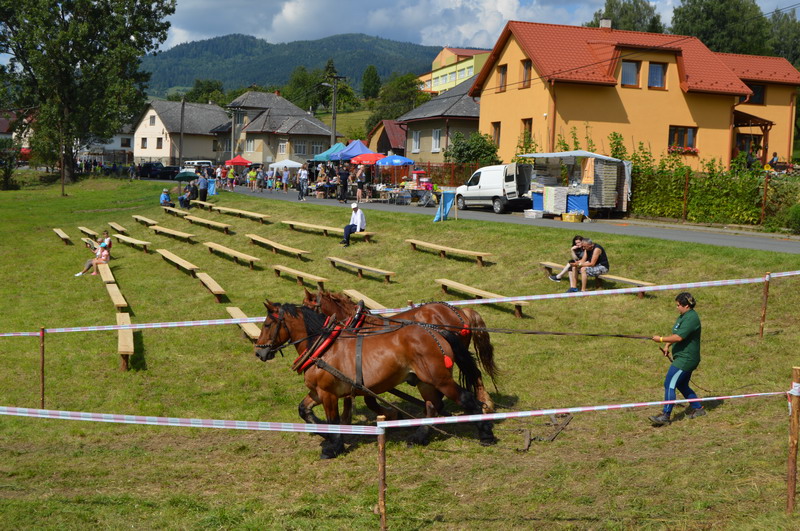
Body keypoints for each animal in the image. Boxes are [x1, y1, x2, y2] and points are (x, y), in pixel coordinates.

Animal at [255, 301, 496, 459]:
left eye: (267, 324)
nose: (259, 352)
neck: (324, 347)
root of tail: (434, 332)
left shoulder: (329, 393)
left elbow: (335, 419)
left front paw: (334, 446)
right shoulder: (317, 392)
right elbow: (303, 410)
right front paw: (323, 432)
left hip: (440, 379)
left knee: (466, 399)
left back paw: (486, 433)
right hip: (425, 381)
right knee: (432, 406)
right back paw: (418, 437)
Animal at [303, 289, 498, 413]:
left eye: (306, 307)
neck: (359, 325)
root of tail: (461, 310)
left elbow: (368, 398)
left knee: (473, 372)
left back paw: (485, 404)